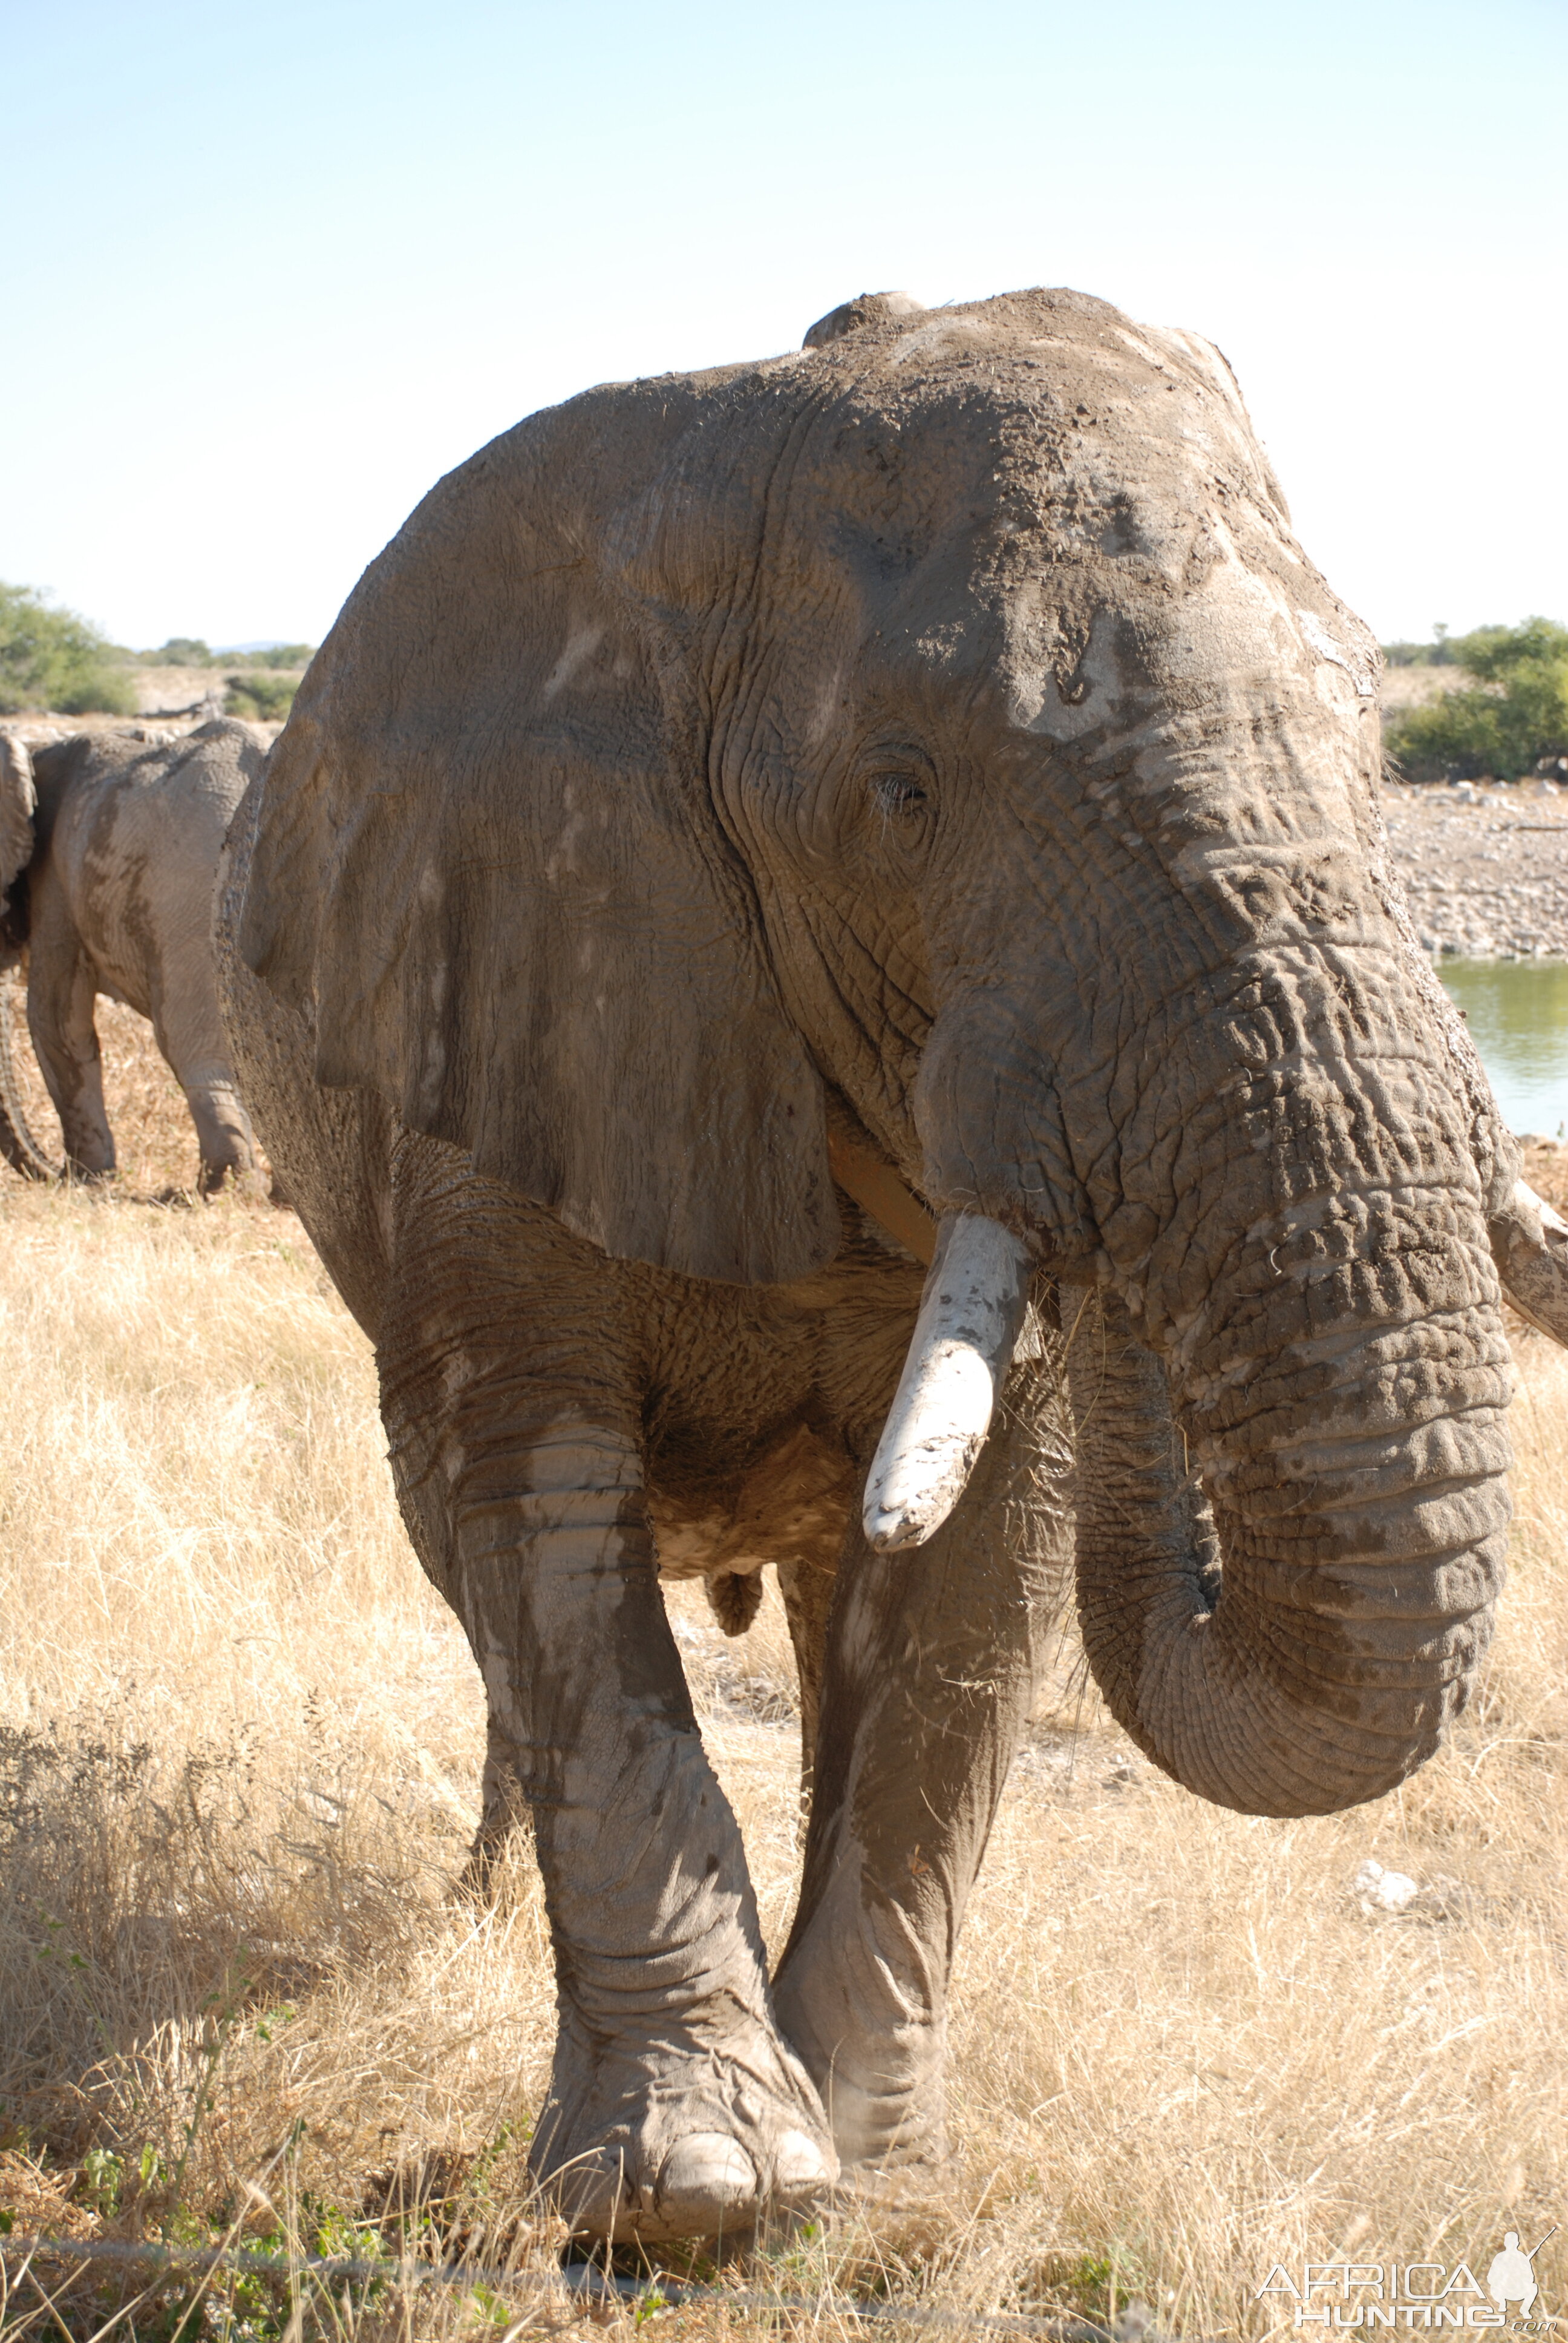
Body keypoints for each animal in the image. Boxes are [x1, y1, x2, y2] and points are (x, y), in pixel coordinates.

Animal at [217, 283, 1566, 2240]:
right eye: (900, 791)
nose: (1093, 1194)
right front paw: (696, 2193)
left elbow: (976, 1579)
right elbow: (543, 1517)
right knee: (473, 1572)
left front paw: (878, 2172)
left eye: (1381, 746)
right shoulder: (504, 979)